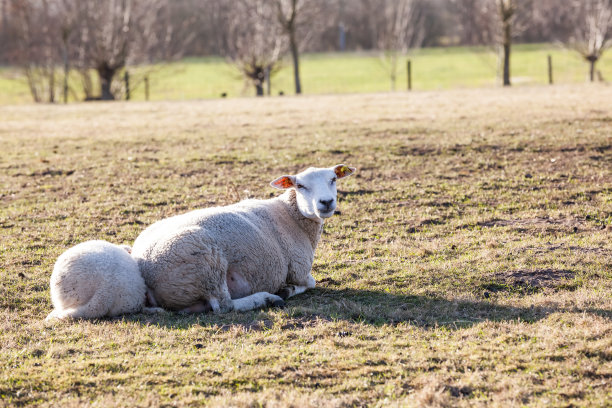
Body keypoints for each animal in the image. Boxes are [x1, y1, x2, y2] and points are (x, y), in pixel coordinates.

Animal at [131, 164, 356, 314]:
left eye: (333, 179)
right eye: (300, 186)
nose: (326, 202)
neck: (291, 215)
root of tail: (143, 270)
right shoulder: (299, 269)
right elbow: (311, 282)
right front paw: (287, 289)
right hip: (207, 264)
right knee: (224, 306)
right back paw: (268, 299)